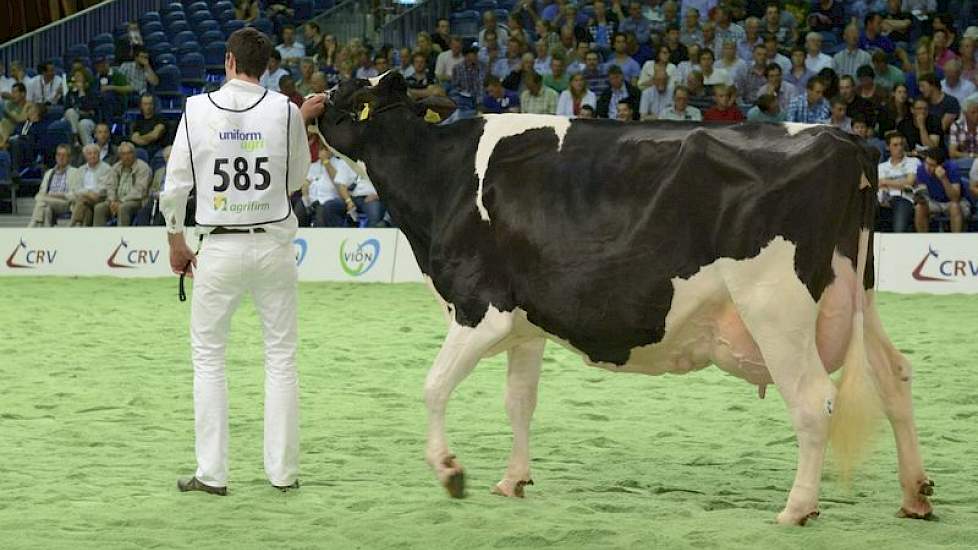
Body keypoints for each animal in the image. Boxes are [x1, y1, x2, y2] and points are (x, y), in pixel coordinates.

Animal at [316, 72, 936, 528]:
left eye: (354, 93)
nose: (315, 99)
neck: (439, 174)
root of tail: (844, 139)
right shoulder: (523, 323)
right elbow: (519, 402)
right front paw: (513, 479)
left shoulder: (480, 309)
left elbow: (433, 386)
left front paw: (450, 471)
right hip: (857, 292)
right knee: (894, 375)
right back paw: (915, 494)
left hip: (775, 305)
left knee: (813, 399)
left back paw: (797, 508)